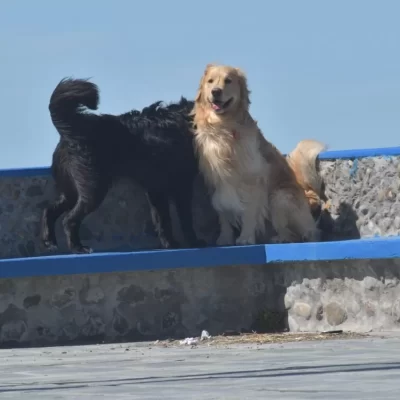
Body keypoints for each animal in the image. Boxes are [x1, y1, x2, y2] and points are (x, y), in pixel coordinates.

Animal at [41, 77, 205, 253]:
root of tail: (71, 130)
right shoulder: (180, 186)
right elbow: (184, 219)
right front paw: (192, 241)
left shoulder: (156, 188)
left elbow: (162, 219)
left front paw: (169, 243)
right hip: (93, 188)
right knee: (69, 220)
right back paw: (78, 247)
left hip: (71, 190)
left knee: (49, 210)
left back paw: (50, 241)